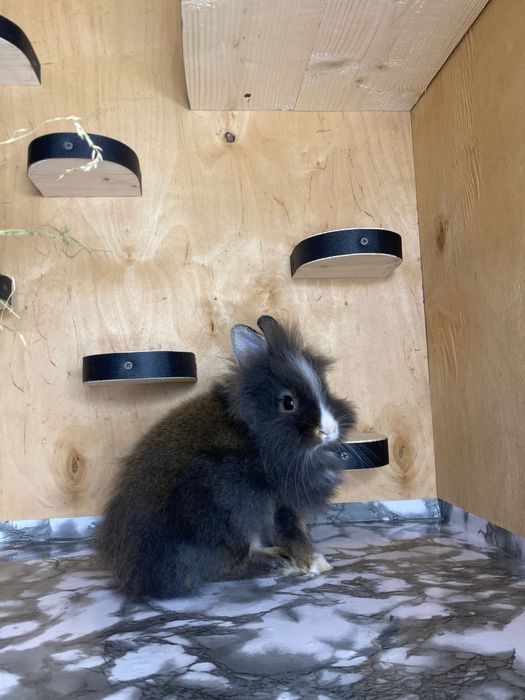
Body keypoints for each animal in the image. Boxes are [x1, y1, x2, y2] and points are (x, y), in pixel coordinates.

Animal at [97, 315, 356, 599]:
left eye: (325, 388)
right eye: (289, 403)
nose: (329, 430)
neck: (255, 428)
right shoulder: (280, 500)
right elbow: (292, 532)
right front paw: (316, 564)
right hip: (229, 500)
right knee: (228, 564)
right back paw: (278, 563)